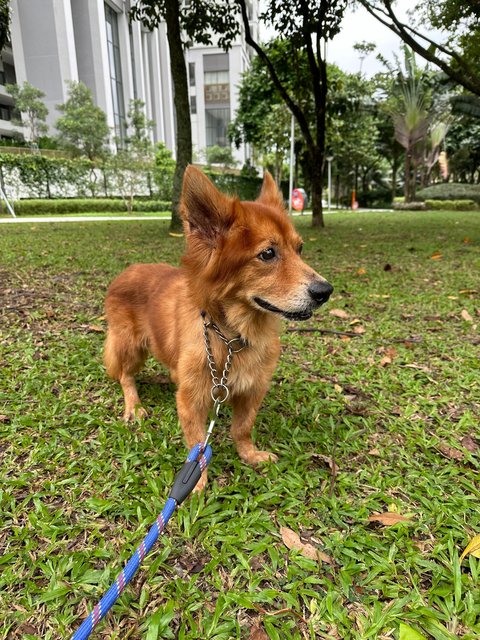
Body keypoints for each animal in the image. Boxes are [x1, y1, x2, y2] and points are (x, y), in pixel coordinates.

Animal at [103, 168, 332, 488]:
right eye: (268, 254)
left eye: (299, 249)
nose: (325, 291)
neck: (233, 336)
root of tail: (127, 271)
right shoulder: (191, 400)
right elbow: (197, 442)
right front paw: (197, 481)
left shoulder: (251, 390)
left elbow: (242, 428)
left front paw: (249, 454)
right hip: (129, 346)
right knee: (125, 376)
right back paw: (133, 405)